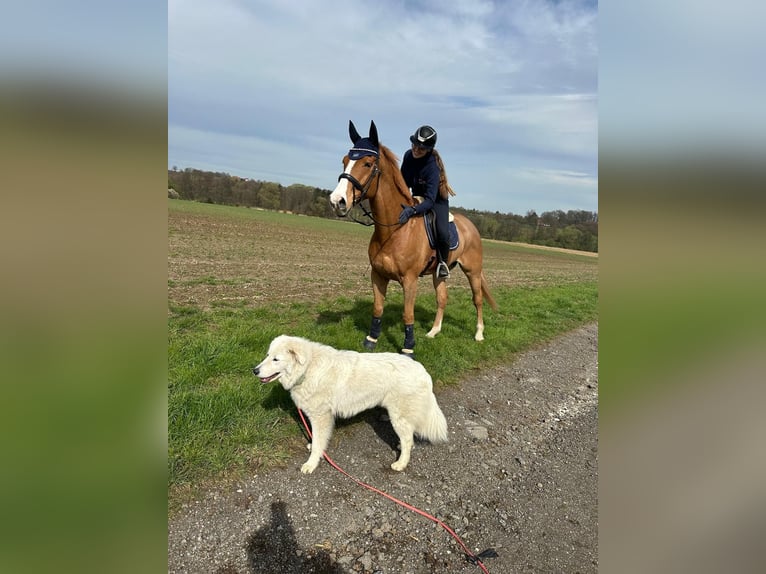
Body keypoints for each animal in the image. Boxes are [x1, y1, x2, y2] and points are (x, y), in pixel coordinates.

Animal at [329, 120, 497, 356]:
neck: (395, 230)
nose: (337, 201)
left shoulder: (409, 281)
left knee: (478, 299)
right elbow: (377, 308)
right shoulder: (377, 276)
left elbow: (408, 314)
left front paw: (408, 348)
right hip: (439, 273)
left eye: (368, 163)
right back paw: (434, 331)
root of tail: (472, 226)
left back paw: (479, 334)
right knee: (442, 298)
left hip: (472, 271)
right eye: (345, 160)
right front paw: (371, 339)